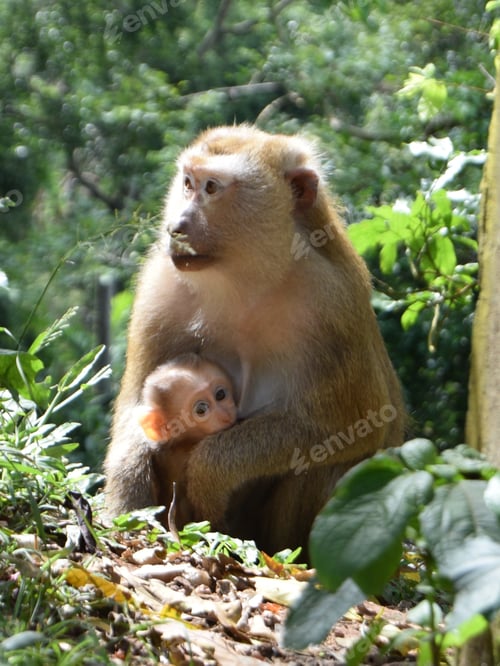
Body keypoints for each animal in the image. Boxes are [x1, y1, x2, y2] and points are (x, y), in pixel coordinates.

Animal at [104, 124, 405, 557]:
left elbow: (356, 423)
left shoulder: (330, 303)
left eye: (212, 188)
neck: (245, 283)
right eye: (188, 183)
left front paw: (212, 469)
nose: (177, 225)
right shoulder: (161, 286)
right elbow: (137, 407)